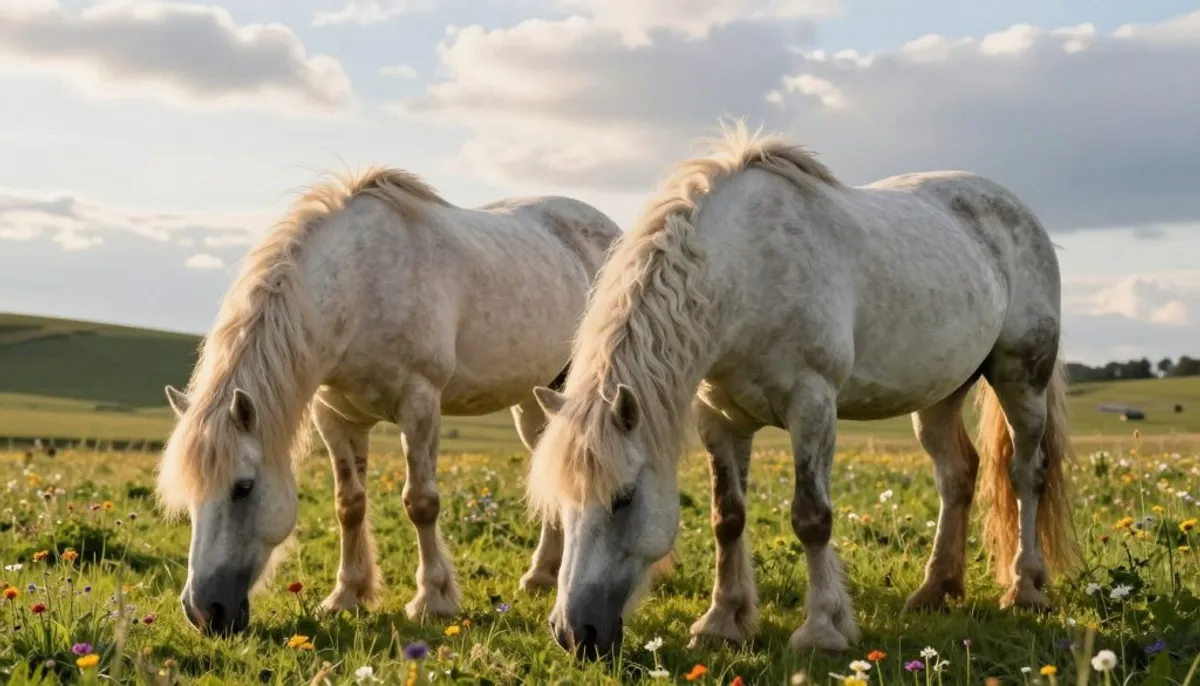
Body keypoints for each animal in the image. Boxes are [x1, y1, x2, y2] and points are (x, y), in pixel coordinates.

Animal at [155, 166, 621, 635]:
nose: (202, 611)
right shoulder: (335, 417)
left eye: (243, 487)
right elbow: (349, 504)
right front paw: (346, 596)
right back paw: (541, 575)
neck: (358, 287)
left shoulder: (420, 404)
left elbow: (421, 502)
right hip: (534, 400)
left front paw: (433, 599)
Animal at [524, 122, 1080, 660]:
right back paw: (935, 591)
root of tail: (1016, 209)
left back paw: (1025, 589)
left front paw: (821, 630)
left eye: (624, 498)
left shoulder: (812, 406)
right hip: (940, 394)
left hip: (1021, 378)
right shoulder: (719, 419)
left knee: (1026, 473)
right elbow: (727, 517)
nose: (574, 633)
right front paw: (722, 622)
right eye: (559, 505)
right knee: (957, 476)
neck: (744, 273)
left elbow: (812, 518)